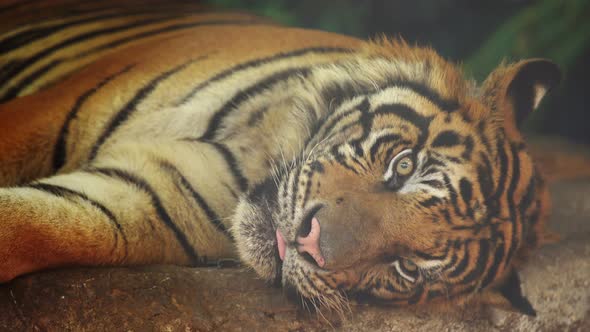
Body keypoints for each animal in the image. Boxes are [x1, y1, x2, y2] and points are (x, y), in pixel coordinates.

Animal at [0, 0, 560, 316]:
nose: (309, 243)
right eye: (404, 167)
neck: (252, 155)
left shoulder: (141, 199)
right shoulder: (48, 113)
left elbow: (38, 227)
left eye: (408, 267)